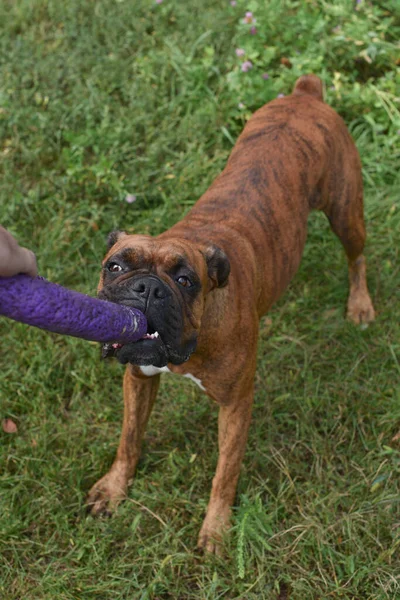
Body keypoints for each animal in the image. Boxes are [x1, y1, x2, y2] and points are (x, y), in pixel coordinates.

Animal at [86, 75, 376, 552]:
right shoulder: (138, 378)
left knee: (357, 258)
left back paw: (360, 304)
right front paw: (114, 488)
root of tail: (305, 93)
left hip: (345, 214)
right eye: (116, 266)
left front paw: (217, 528)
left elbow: (225, 472)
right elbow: (129, 438)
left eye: (185, 280)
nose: (147, 288)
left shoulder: (236, 405)